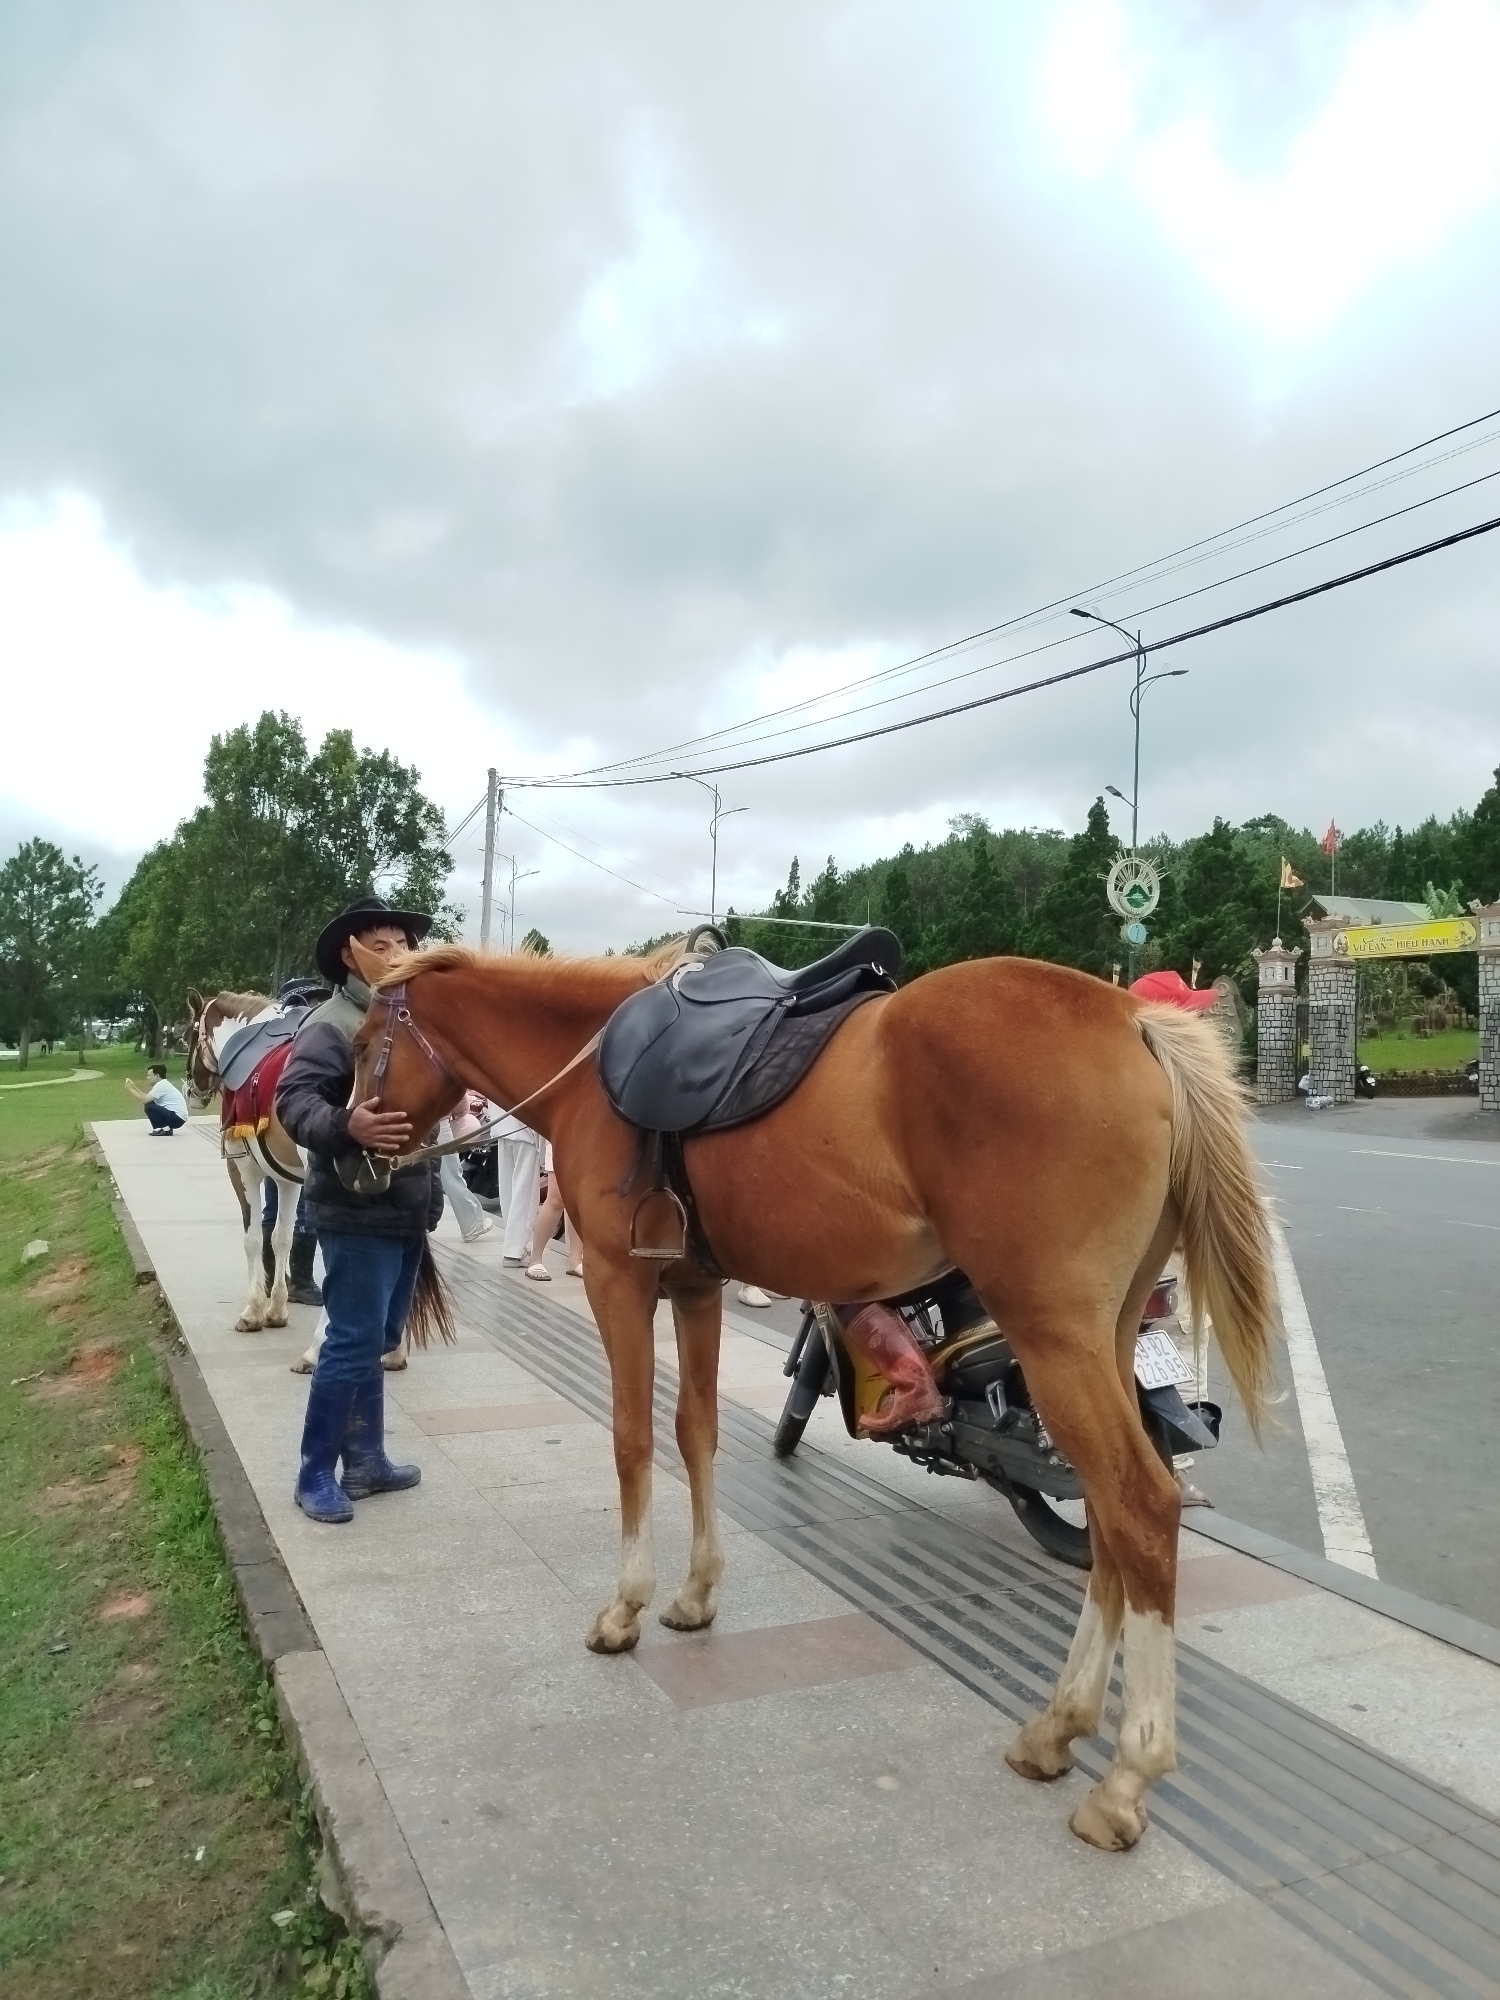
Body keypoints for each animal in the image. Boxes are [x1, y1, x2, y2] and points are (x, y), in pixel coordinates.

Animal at [185, 988, 306, 1332]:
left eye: (187, 1036)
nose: (192, 1091)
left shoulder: (242, 1170)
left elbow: (252, 1238)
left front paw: (253, 1309)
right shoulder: (289, 1180)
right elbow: (281, 1237)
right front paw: (276, 1308)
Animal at [343, 937, 1275, 1852]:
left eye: (361, 1045)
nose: (351, 1150)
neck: (594, 1066)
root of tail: (1134, 1020)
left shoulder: (618, 1281)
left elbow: (632, 1438)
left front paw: (626, 1607)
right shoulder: (694, 1287)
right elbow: (696, 1429)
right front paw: (696, 1594)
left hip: (1054, 1337)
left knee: (1140, 1507)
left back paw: (1125, 1778)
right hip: (1105, 1337)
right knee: (1112, 1519)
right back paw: (1059, 1727)